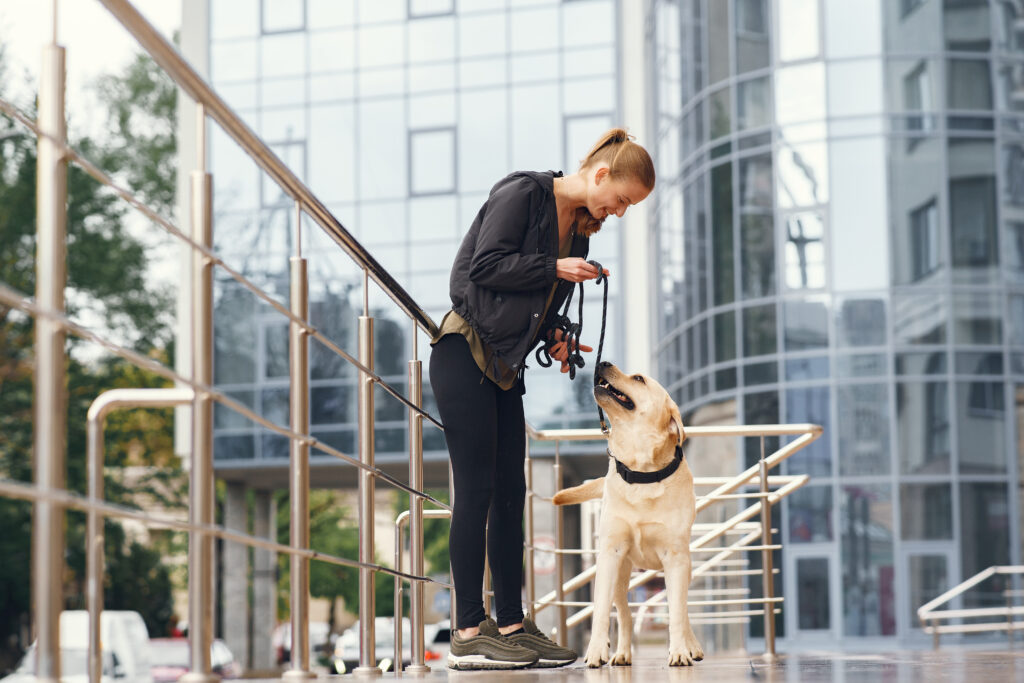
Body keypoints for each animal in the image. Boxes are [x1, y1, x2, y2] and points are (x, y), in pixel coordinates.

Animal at [552, 362, 704, 667]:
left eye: (638, 379)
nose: (602, 363)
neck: (641, 473)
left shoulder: (676, 559)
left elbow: (677, 613)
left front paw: (680, 650)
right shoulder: (610, 555)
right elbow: (600, 610)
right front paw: (596, 650)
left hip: (684, 569)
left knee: (681, 611)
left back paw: (691, 645)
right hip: (621, 576)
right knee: (624, 614)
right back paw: (622, 652)